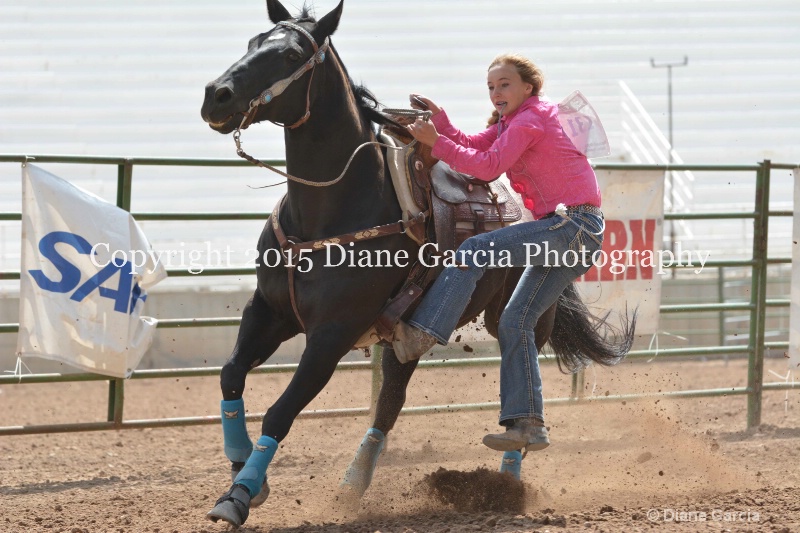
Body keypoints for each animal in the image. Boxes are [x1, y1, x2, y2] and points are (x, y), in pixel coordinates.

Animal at [202, 0, 636, 524]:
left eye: (290, 54)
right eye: (253, 41)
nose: (217, 96)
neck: (331, 211)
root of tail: (552, 212)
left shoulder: (332, 334)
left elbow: (280, 411)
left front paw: (240, 494)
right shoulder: (268, 312)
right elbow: (230, 376)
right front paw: (242, 465)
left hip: (529, 314)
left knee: (519, 366)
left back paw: (507, 481)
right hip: (400, 332)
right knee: (391, 399)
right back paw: (354, 483)